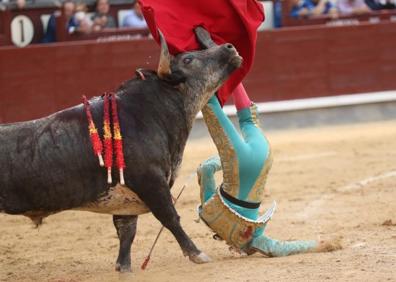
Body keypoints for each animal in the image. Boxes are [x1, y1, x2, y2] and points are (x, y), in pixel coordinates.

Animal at [0, 30, 241, 270]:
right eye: (188, 60)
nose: (229, 47)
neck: (149, 112)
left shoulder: (126, 196)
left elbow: (127, 231)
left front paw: (123, 267)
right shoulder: (150, 181)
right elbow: (169, 217)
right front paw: (197, 254)